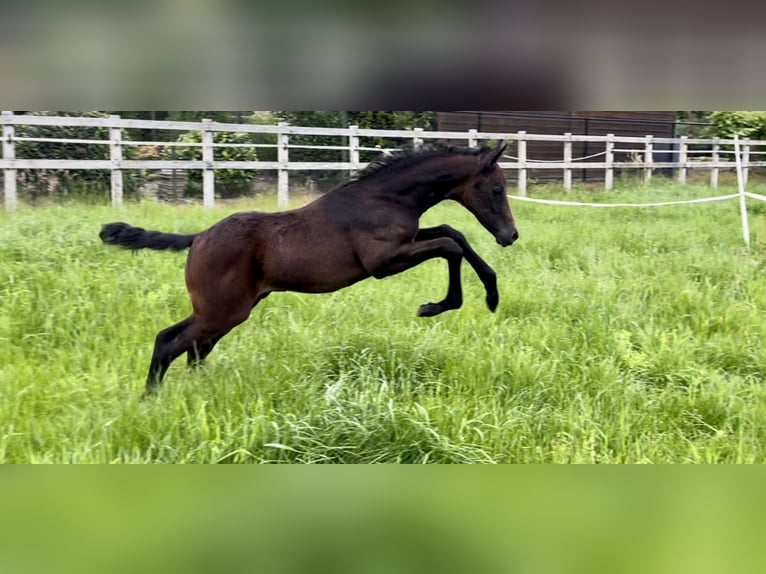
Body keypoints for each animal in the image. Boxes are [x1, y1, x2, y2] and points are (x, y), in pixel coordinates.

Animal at [102, 142, 520, 398]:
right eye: (497, 190)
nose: (510, 235)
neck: (383, 198)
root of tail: (198, 238)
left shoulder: (409, 241)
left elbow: (453, 233)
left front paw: (491, 293)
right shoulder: (384, 262)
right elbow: (451, 245)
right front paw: (438, 306)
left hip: (221, 312)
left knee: (188, 348)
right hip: (222, 312)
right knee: (169, 343)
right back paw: (149, 401)